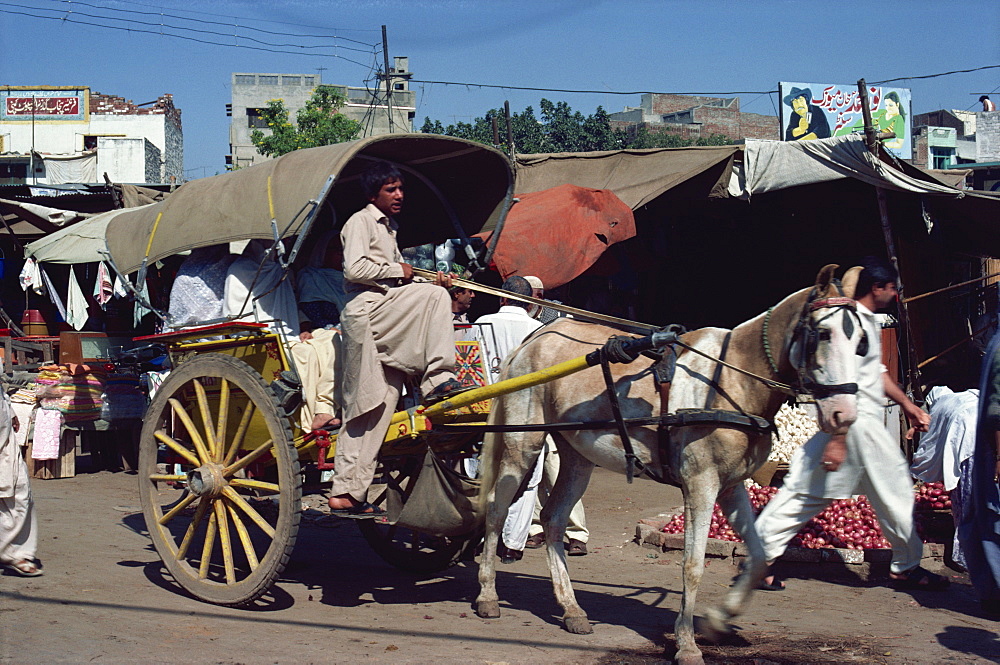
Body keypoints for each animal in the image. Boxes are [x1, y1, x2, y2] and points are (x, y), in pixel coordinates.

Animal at [476, 264, 868, 664]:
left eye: (861, 341)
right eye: (823, 333)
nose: (844, 413)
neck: (733, 379)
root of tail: (532, 340)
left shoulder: (730, 486)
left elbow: (759, 557)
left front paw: (718, 621)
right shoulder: (700, 485)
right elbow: (692, 566)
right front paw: (687, 643)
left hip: (577, 456)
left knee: (554, 519)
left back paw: (571, 609)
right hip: (522, 444)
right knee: (496, 509)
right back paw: (488, 595)